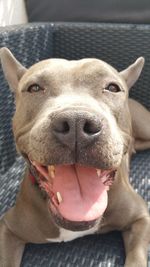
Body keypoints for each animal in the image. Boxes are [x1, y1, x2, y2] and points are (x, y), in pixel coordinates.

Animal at [0, 48, 150, 267]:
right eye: (34, 88)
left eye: (112, 88)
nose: (76, 122)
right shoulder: (9, 228)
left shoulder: (140, 216)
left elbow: (137, 257)